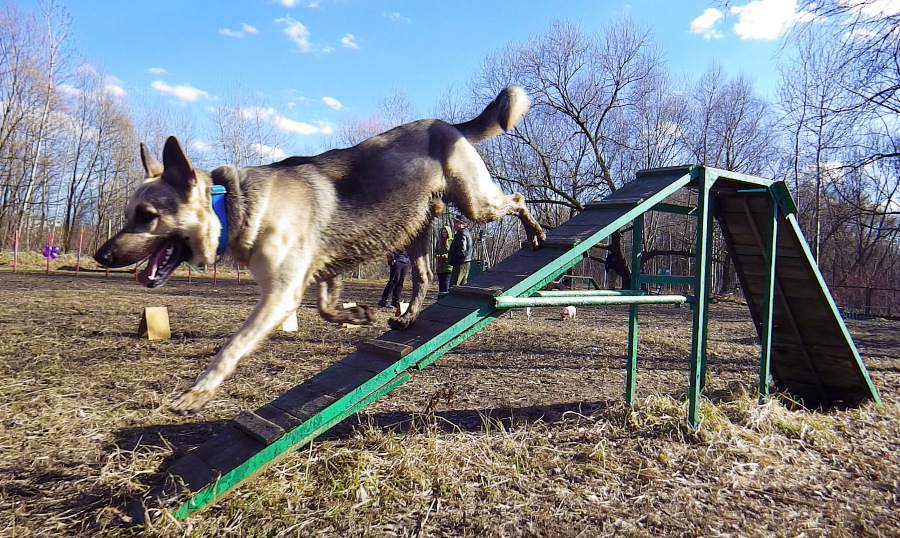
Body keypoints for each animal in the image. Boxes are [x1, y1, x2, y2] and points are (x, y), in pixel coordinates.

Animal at [93, 86, 540, 410]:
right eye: (129, 213)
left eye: (147, 216)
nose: (101, 256)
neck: (234, 204)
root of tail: (449, 125)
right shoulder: (322, 272)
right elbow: (327, 308)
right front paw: (355, 316)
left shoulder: (279, 296)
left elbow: (231, 348)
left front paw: (197, 393)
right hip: (415, 227)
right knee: (426, 275)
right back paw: (407, 317)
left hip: (475, 204)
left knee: (517, 199)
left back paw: (535, 232)